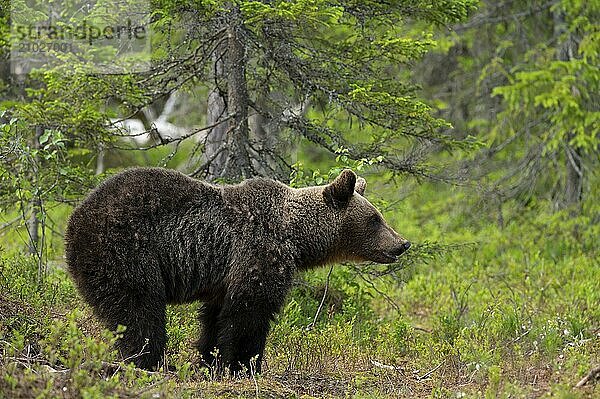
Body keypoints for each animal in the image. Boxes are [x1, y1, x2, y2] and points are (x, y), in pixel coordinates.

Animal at [65, 167, 412, 374]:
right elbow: (250, 313)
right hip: (127, 252)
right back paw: (149, 362)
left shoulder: (223, 275)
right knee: (139, 312)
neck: (296, 237)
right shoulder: (259, 252)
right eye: (375, 219)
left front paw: (210, 360)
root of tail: (75, 220)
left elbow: (216, 317)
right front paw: (244, 365)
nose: (402, 243)